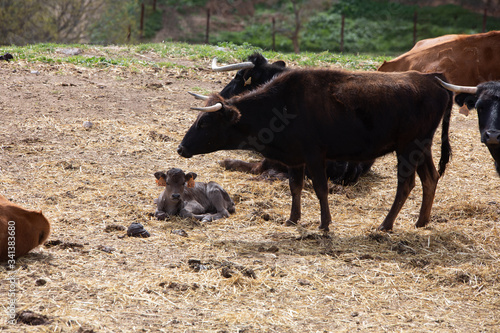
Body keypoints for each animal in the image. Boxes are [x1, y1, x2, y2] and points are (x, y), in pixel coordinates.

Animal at [179, 68, 454, 231]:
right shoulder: (296, 160)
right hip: (422, 147)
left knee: (406, 185)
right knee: (430, 178)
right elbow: (296, 187)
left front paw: (324, 224)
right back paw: (421, 221)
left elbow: (321, 189)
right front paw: (293, 219)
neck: (282, 105)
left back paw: (386, 225)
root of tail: (431, 79)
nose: (181, 148)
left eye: (204, 122)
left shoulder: (314, 157)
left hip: (408, 148)